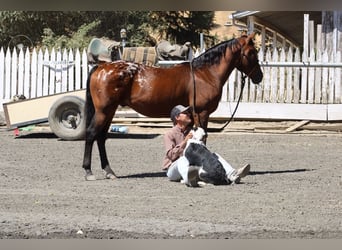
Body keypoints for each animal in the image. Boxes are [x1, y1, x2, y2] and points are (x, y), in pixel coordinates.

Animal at [82, 32, 262, 180]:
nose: (259, 76)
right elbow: (202, 138)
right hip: (103, 111)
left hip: (110, 111)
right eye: (252, 52)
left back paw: (109, 171)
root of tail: (101, 67)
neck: (204, 74)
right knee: (91, 134)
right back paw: (88, 171)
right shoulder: (202, 113)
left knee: (101, 137)